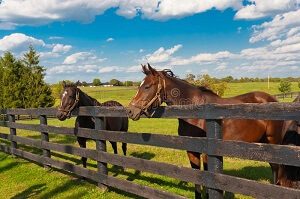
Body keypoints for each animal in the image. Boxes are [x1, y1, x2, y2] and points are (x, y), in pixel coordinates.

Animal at [127, 64, 284, 198]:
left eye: (147, 86)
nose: (130, 111)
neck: (196, 111)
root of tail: (272, 99)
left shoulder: (207, 153)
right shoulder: (191, 151)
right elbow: (197, 178)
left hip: (273, 142)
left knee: (277, 168)